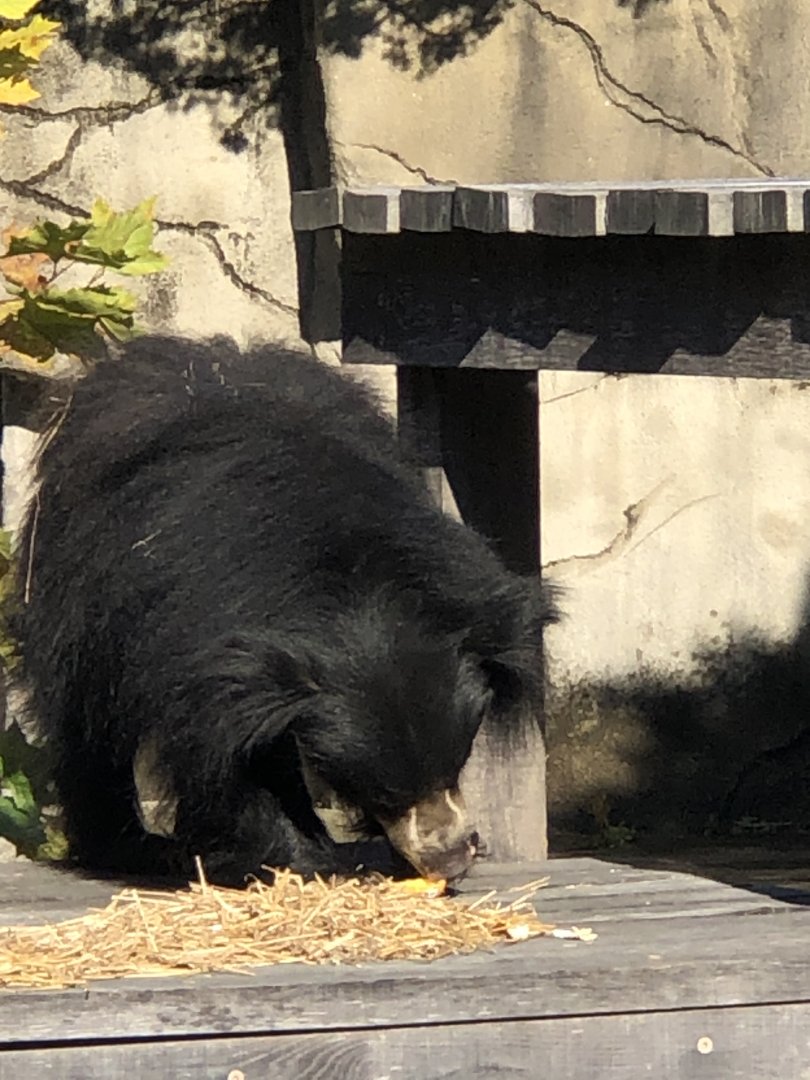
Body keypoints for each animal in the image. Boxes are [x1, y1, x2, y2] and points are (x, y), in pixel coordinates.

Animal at [12, 336, 557, 887]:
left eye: (456, 761)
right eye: (383, 792)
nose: (450, 858)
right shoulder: (210, 648)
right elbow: (234, 758)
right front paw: (301, 857)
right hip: (71, 587)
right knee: (85, 719)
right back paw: (129, 845)